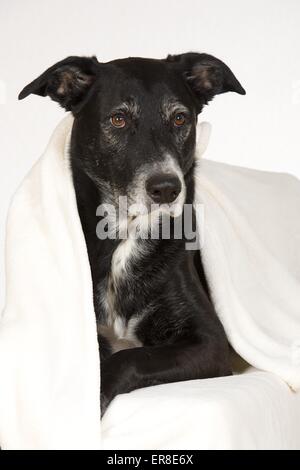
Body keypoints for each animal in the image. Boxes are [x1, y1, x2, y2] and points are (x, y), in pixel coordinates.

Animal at [18, 52, 245, 414]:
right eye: (118, 119)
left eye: (179, 118)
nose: (167, 188)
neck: (125, 234)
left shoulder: (210, 342)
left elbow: (133, 357)